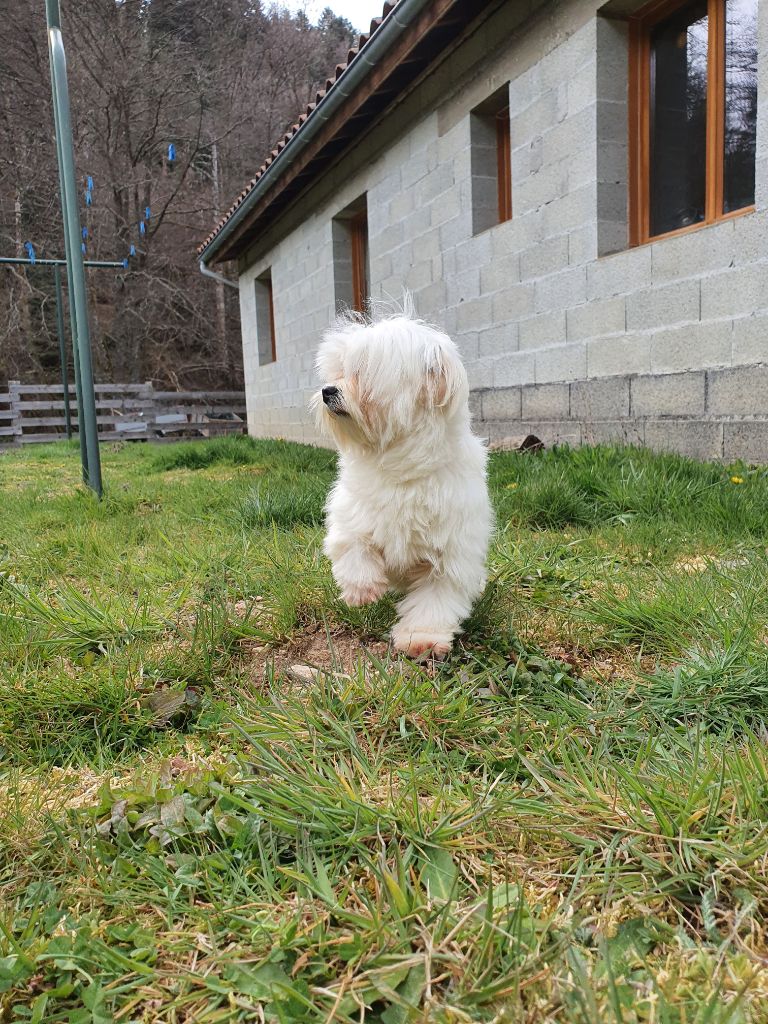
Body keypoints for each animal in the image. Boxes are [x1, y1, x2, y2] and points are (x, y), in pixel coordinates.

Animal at [313, 305, 493, 655]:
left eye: (362, 371)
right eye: (338, 370)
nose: (328, 390)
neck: (401, 466)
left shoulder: (449, 554)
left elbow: (435, 601)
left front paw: (421, 637)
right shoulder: (351, 512)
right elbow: (352, 545)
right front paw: (362, 589)